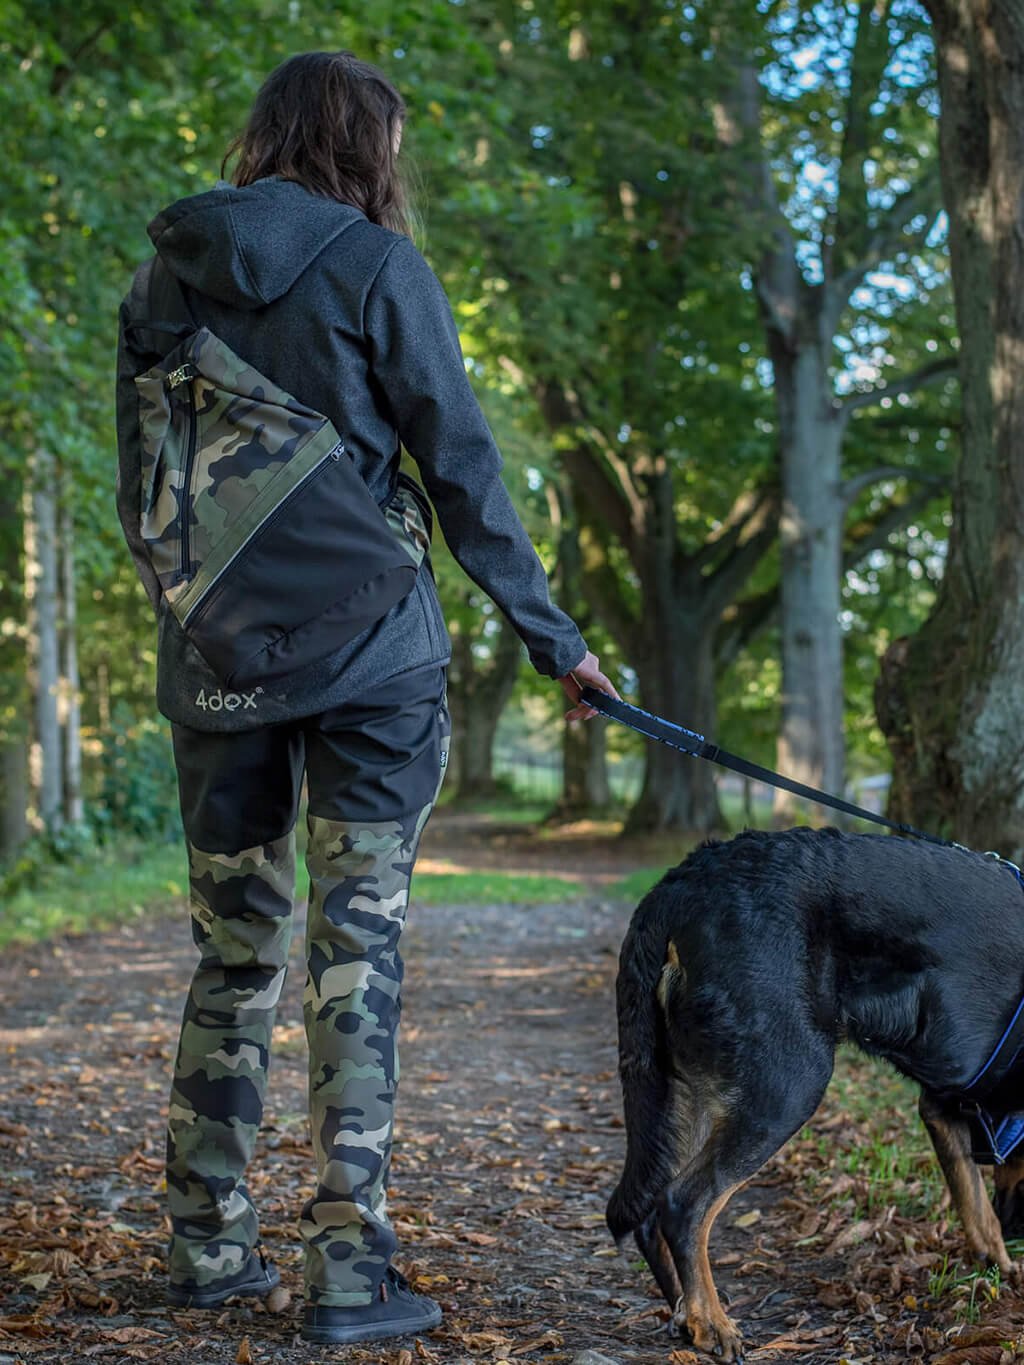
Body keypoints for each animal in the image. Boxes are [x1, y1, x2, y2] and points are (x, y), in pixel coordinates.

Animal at [606, 824, 1024, 1359]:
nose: (1019, 1228)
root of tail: (678, 885)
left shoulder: (942, 1104)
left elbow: (976, 1206)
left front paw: (999, 1266)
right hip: (788, 1081)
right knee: (683, 1204)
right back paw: (711, 1324)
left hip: (689, 1094)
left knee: (651, 1210)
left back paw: (685, 1312)